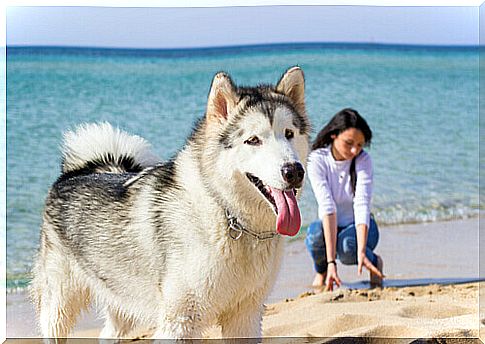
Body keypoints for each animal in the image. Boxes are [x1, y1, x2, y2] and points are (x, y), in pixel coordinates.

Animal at [30, 66, 310, 340]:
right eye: (253, 140)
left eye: (289, 134)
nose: (294, 171)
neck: (228, 215)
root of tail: (75, 173)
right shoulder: (180, 320)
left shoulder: (245, 316)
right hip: (60, 306)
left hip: (123, 300)